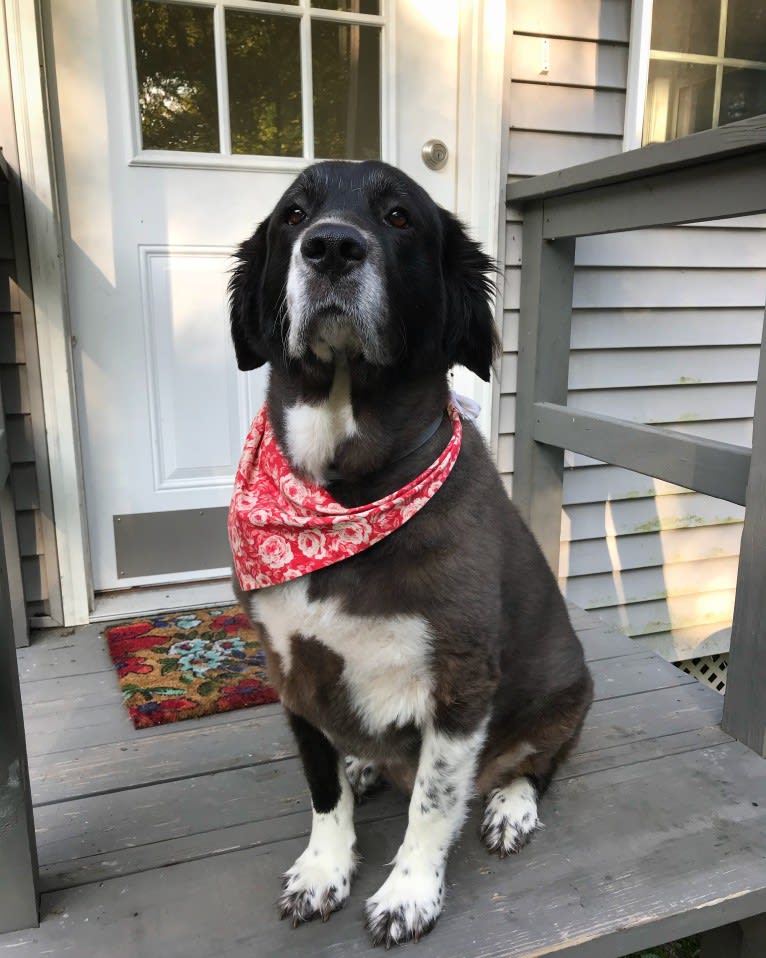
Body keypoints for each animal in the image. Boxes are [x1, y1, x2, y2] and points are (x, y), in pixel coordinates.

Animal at [228, 161, 592, 948]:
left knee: (531, 766)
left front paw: (408, 892)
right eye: (293, 214)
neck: (345, 496)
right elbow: (321, 787)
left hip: (568, 694)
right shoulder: (290, 668)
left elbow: (432, 800)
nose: (331, 246)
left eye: (398, 216)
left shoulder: (460, 686)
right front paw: (323, 869)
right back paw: (366, 765)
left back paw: (511, 805)